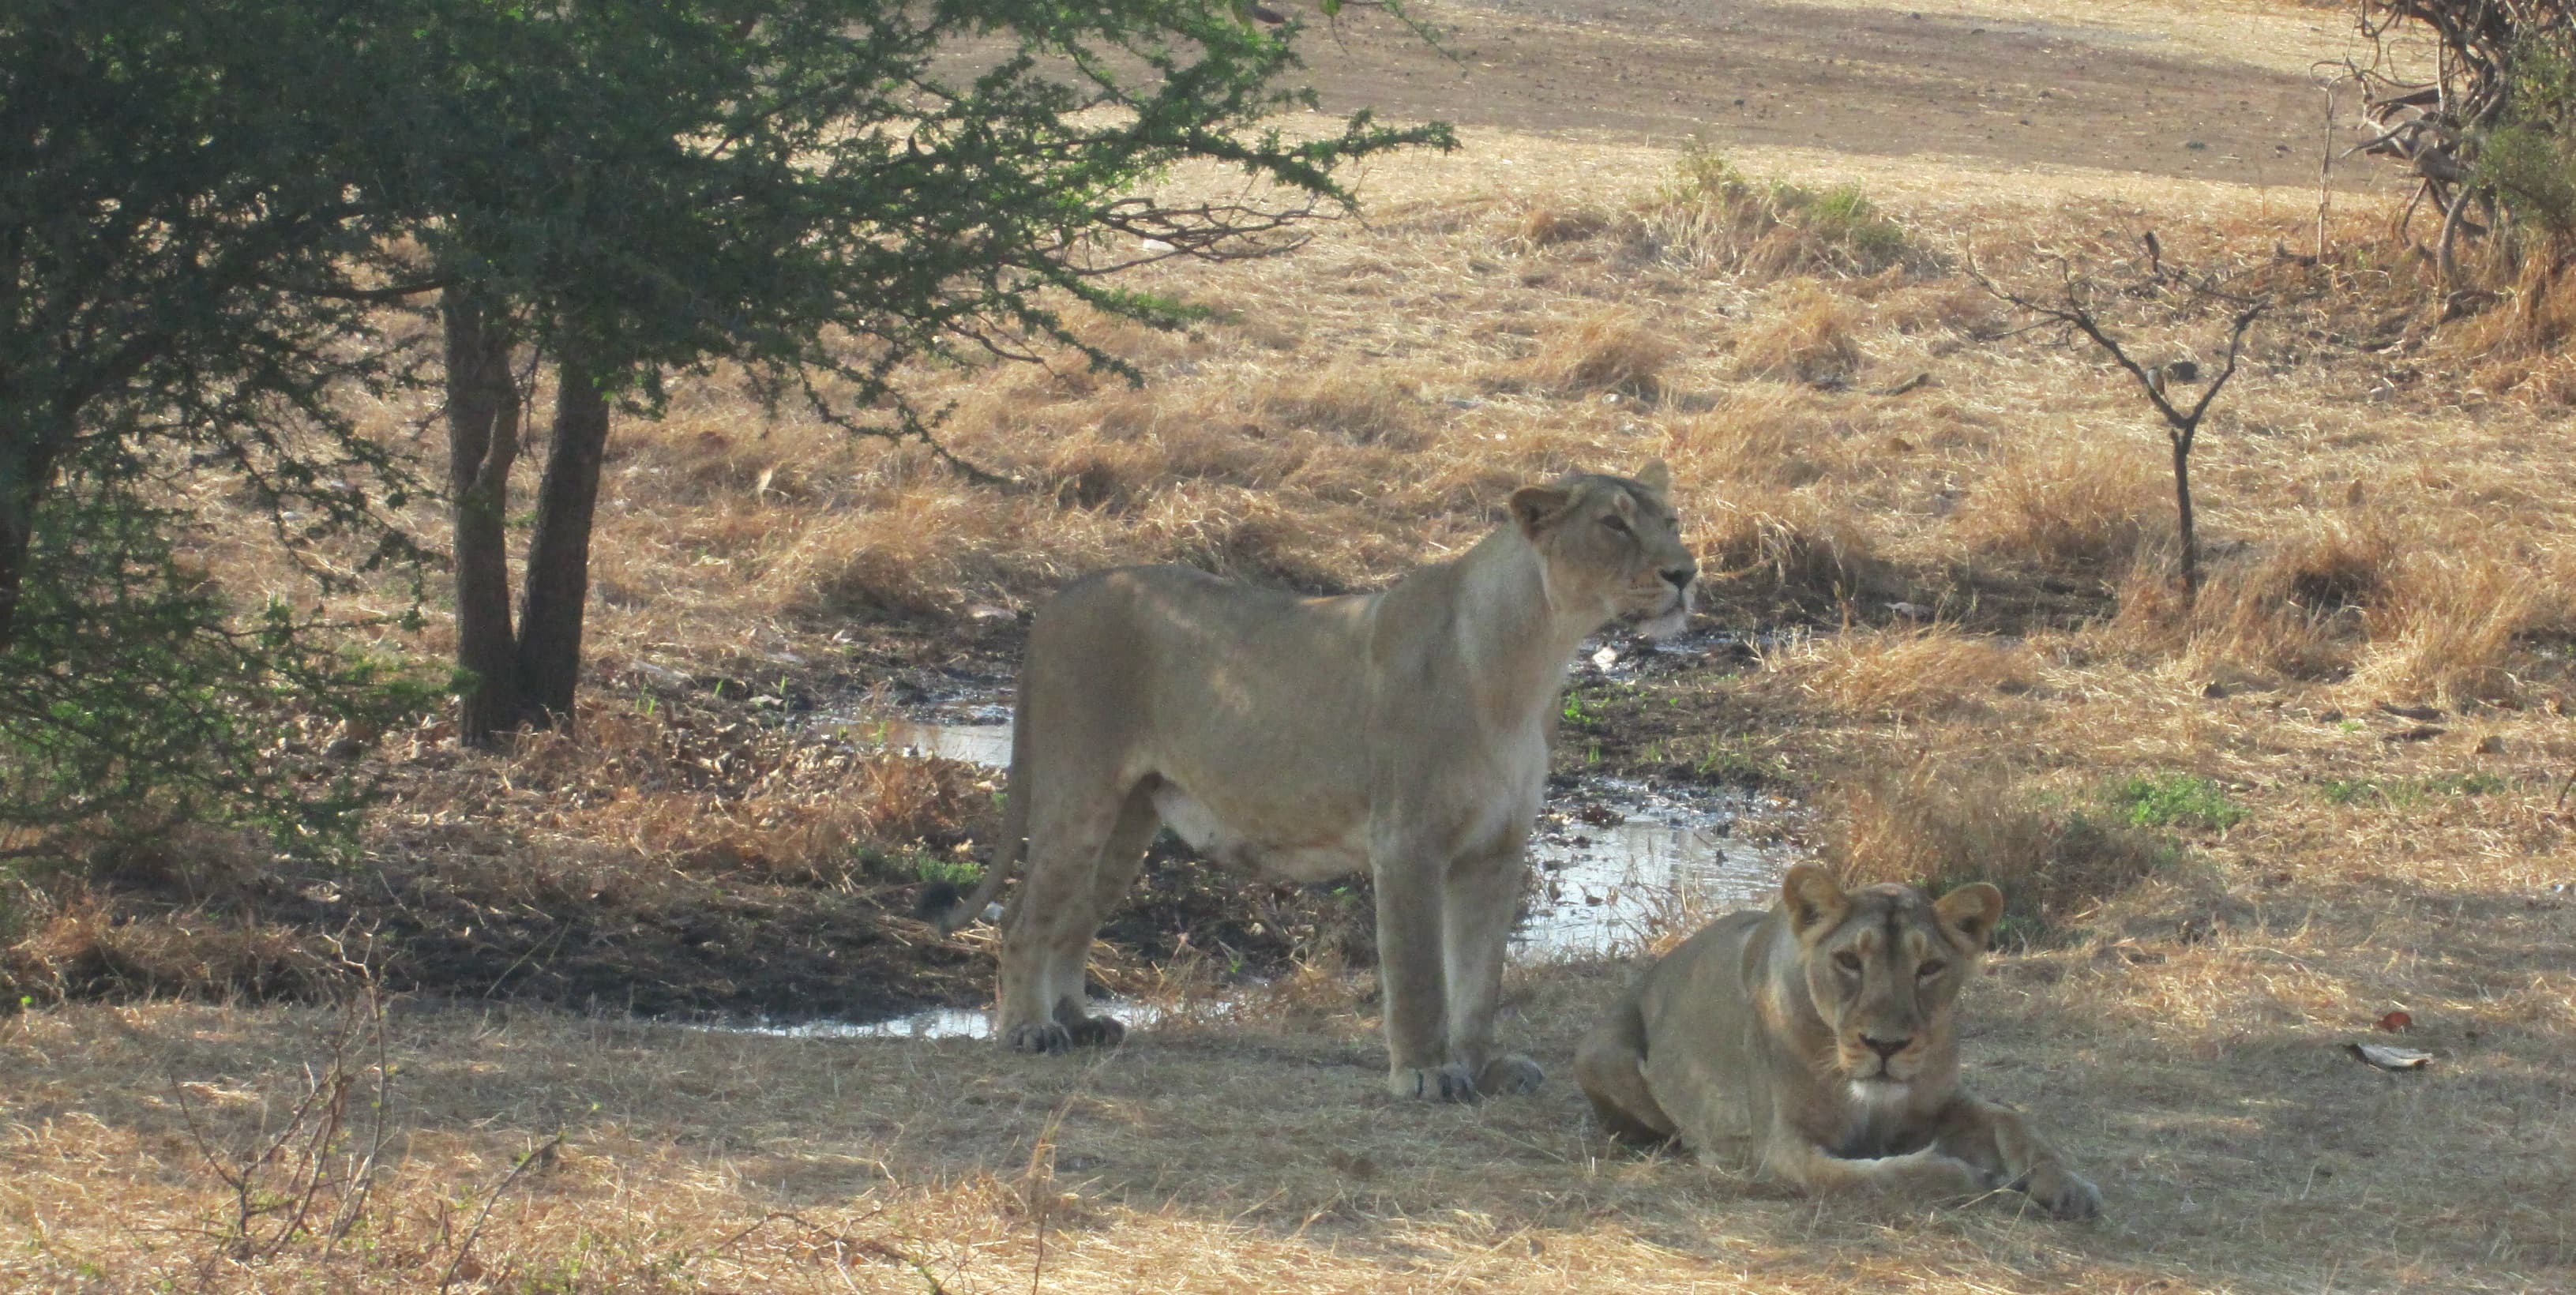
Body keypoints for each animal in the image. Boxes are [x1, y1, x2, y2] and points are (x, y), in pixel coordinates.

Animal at [921, 462, 1698, 1100]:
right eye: (1614, 524)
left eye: (1672, 520)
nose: (1686, 574)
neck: (1533, 658)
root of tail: (1061, 597)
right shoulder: (1407, 842)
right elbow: (1419, 974)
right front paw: (1424, 1074)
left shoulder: (1496, 850)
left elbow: (1480, 980)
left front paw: (1482, 1069)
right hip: (1077, 794)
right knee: (1025, 919)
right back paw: (1029, 1030)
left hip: (1129, 819)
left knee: (1074, 919)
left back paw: (1079, 1021)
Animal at [1574, 863, 2102, 1218]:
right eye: (1849, 961)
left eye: (1929, 968)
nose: (1885, 1046)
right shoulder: (1781, 1150)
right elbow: (1880, 1177)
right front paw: (1976, 1179)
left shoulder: (1940, 1102)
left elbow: (2012, 1120)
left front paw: (2069, 1184)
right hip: (1606, 1057)